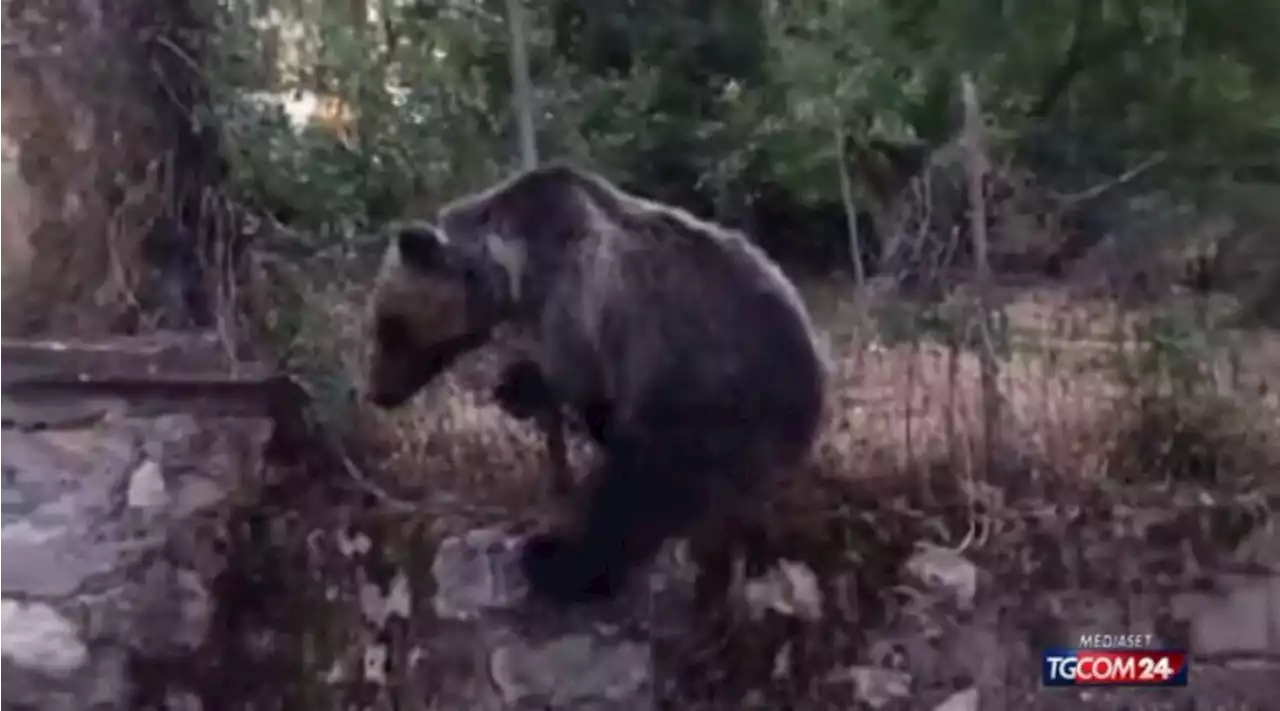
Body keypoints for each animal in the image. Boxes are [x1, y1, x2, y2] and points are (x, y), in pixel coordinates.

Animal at [366, 163, 824, 604]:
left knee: (641, 488)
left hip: (715, 399)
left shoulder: (578, 304)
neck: (514, 272)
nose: (377, 392)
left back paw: (557, 563)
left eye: (389, 325)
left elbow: (577, 378)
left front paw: (520, 384)